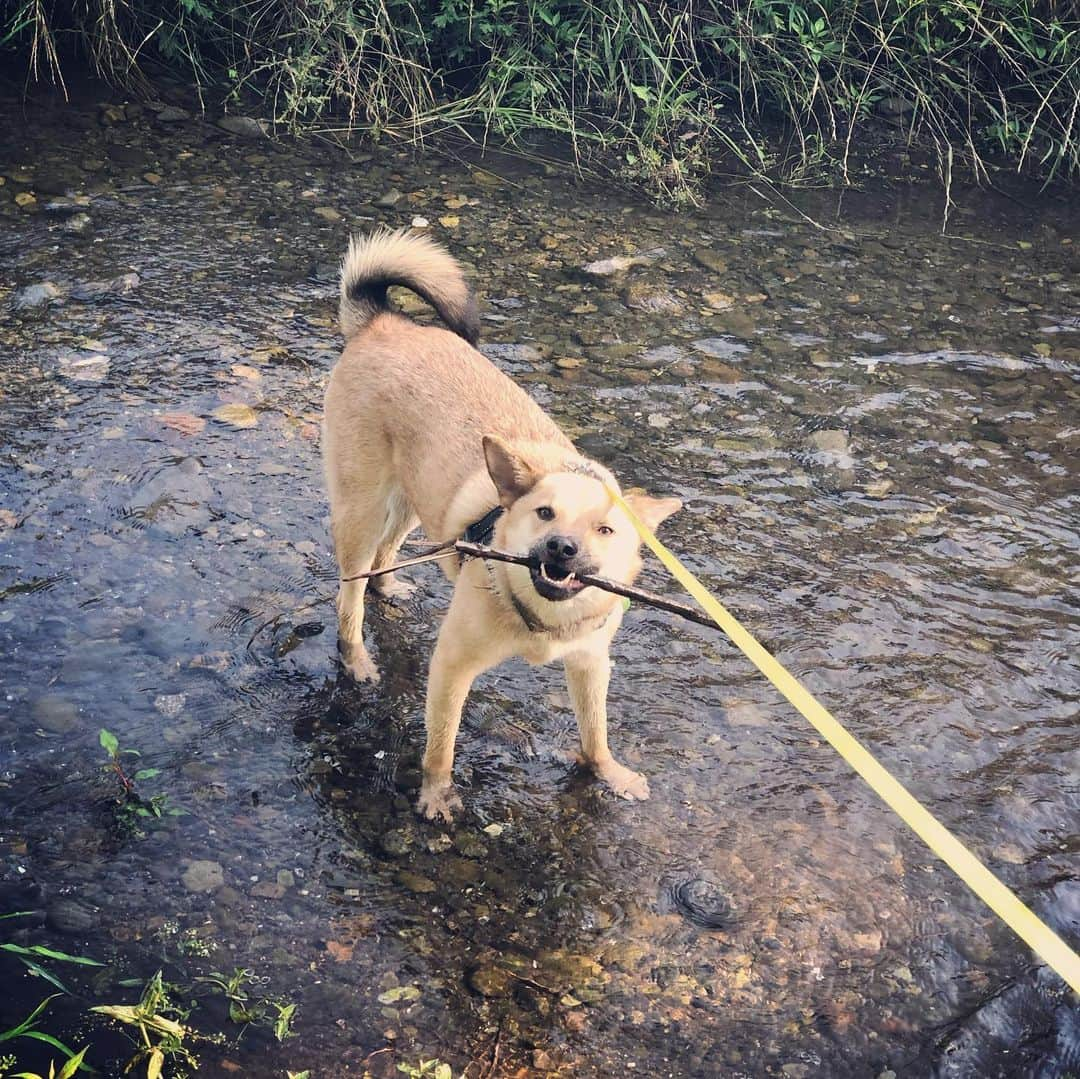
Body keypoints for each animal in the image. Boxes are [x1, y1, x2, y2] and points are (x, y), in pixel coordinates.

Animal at [319, 225, 678, 816]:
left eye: (605, 530)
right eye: (544, 513)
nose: (561, 549)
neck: (543, 618)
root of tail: (384, 323)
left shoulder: (589, 664)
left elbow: (595, 731)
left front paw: (609, 773)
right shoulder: (452, 666)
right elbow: (441, 744)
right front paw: (437, 796)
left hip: (415, 499)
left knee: (387, 553)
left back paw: (389, 587)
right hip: (362, 506)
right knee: (349, 597)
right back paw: (357, 659)